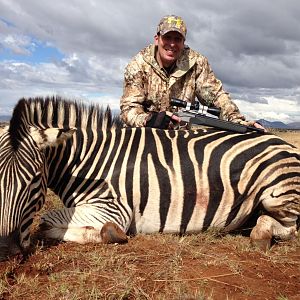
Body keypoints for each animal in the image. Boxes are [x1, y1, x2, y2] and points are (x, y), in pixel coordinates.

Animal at [0, 96, 298, 260]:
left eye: (34, 179)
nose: (5, 248)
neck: (89, 159)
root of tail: (286, 144)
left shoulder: (114, 208)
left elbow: (45, 221)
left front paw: (110, 233)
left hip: (277, 194)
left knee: (289, 228)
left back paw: (261, 234)